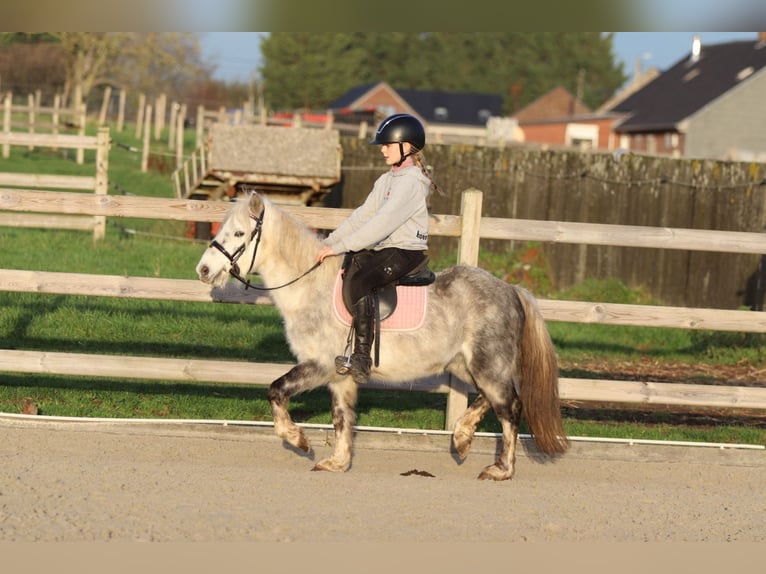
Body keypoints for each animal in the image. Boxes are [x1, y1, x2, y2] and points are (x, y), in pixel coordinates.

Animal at [195, 192, 569, 480]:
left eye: (239, 233)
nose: (203, 270)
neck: (310, 287)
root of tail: (511, 289)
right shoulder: (340, 376)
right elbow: (342, 418)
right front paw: (337, 462)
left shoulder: (319, 365)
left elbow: (276, 391)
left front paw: (298, 440)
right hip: (466, 365)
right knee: (491, 399)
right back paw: (462, 438)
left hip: (488, 364)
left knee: (510, 407)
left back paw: (501, 469)